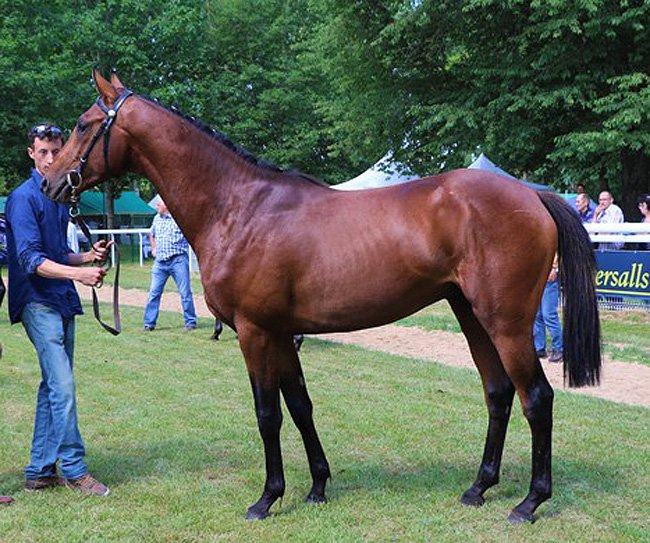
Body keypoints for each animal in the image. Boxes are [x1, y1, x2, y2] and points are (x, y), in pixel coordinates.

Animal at [43, 70, 601, 523]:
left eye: (84, 124)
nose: (49, 181)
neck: (240, 206)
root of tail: (533, 195)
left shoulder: (255, 332)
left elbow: (267, 414)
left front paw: (267, 498)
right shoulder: (282, 334)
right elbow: (300, 406)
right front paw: (316, 487)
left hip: (506, 322)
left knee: (537, 398)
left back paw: (529, 503)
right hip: (472, 316)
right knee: (498, 393)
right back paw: (478, 488)